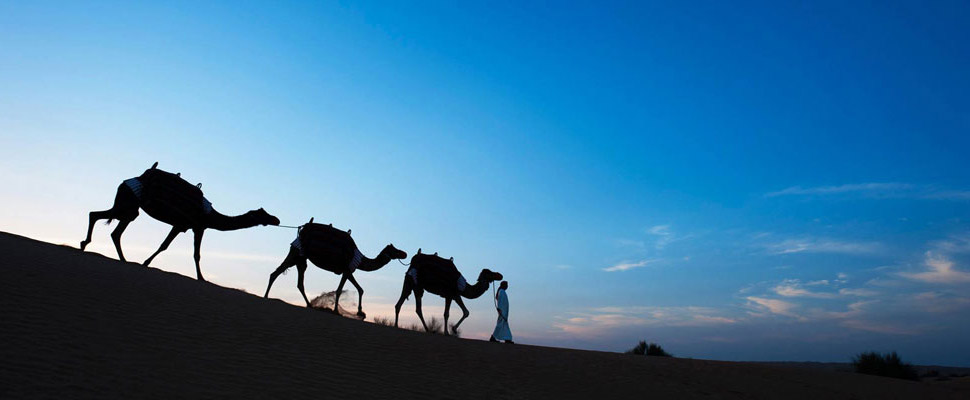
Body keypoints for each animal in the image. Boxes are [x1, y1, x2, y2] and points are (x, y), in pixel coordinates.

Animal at [80, 162, 280, 281]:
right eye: (263, 213)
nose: (276, 219)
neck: (210, 215)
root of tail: (132, 179)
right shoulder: (193, 226)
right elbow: (186, 252)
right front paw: (201, 278)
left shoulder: (187, 227)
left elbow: (175, 248)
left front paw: (145, 262)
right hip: (128, 204)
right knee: (100, 219)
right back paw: (93, 247)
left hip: (129, 207)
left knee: (108, 225)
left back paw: (111, 254)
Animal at [264, 218, 407, 317]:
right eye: (395, 250)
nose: (404, 253)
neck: (359, 259)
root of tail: (302, 229)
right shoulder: (347, 270)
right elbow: (340, 290)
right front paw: (337, 311)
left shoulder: (347, 271)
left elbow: (360, 289)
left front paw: (360, 312)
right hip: (296, 252)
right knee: (278, 272)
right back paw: (266, 297)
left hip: (301, 258)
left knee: (297, 281)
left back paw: (309, 305)